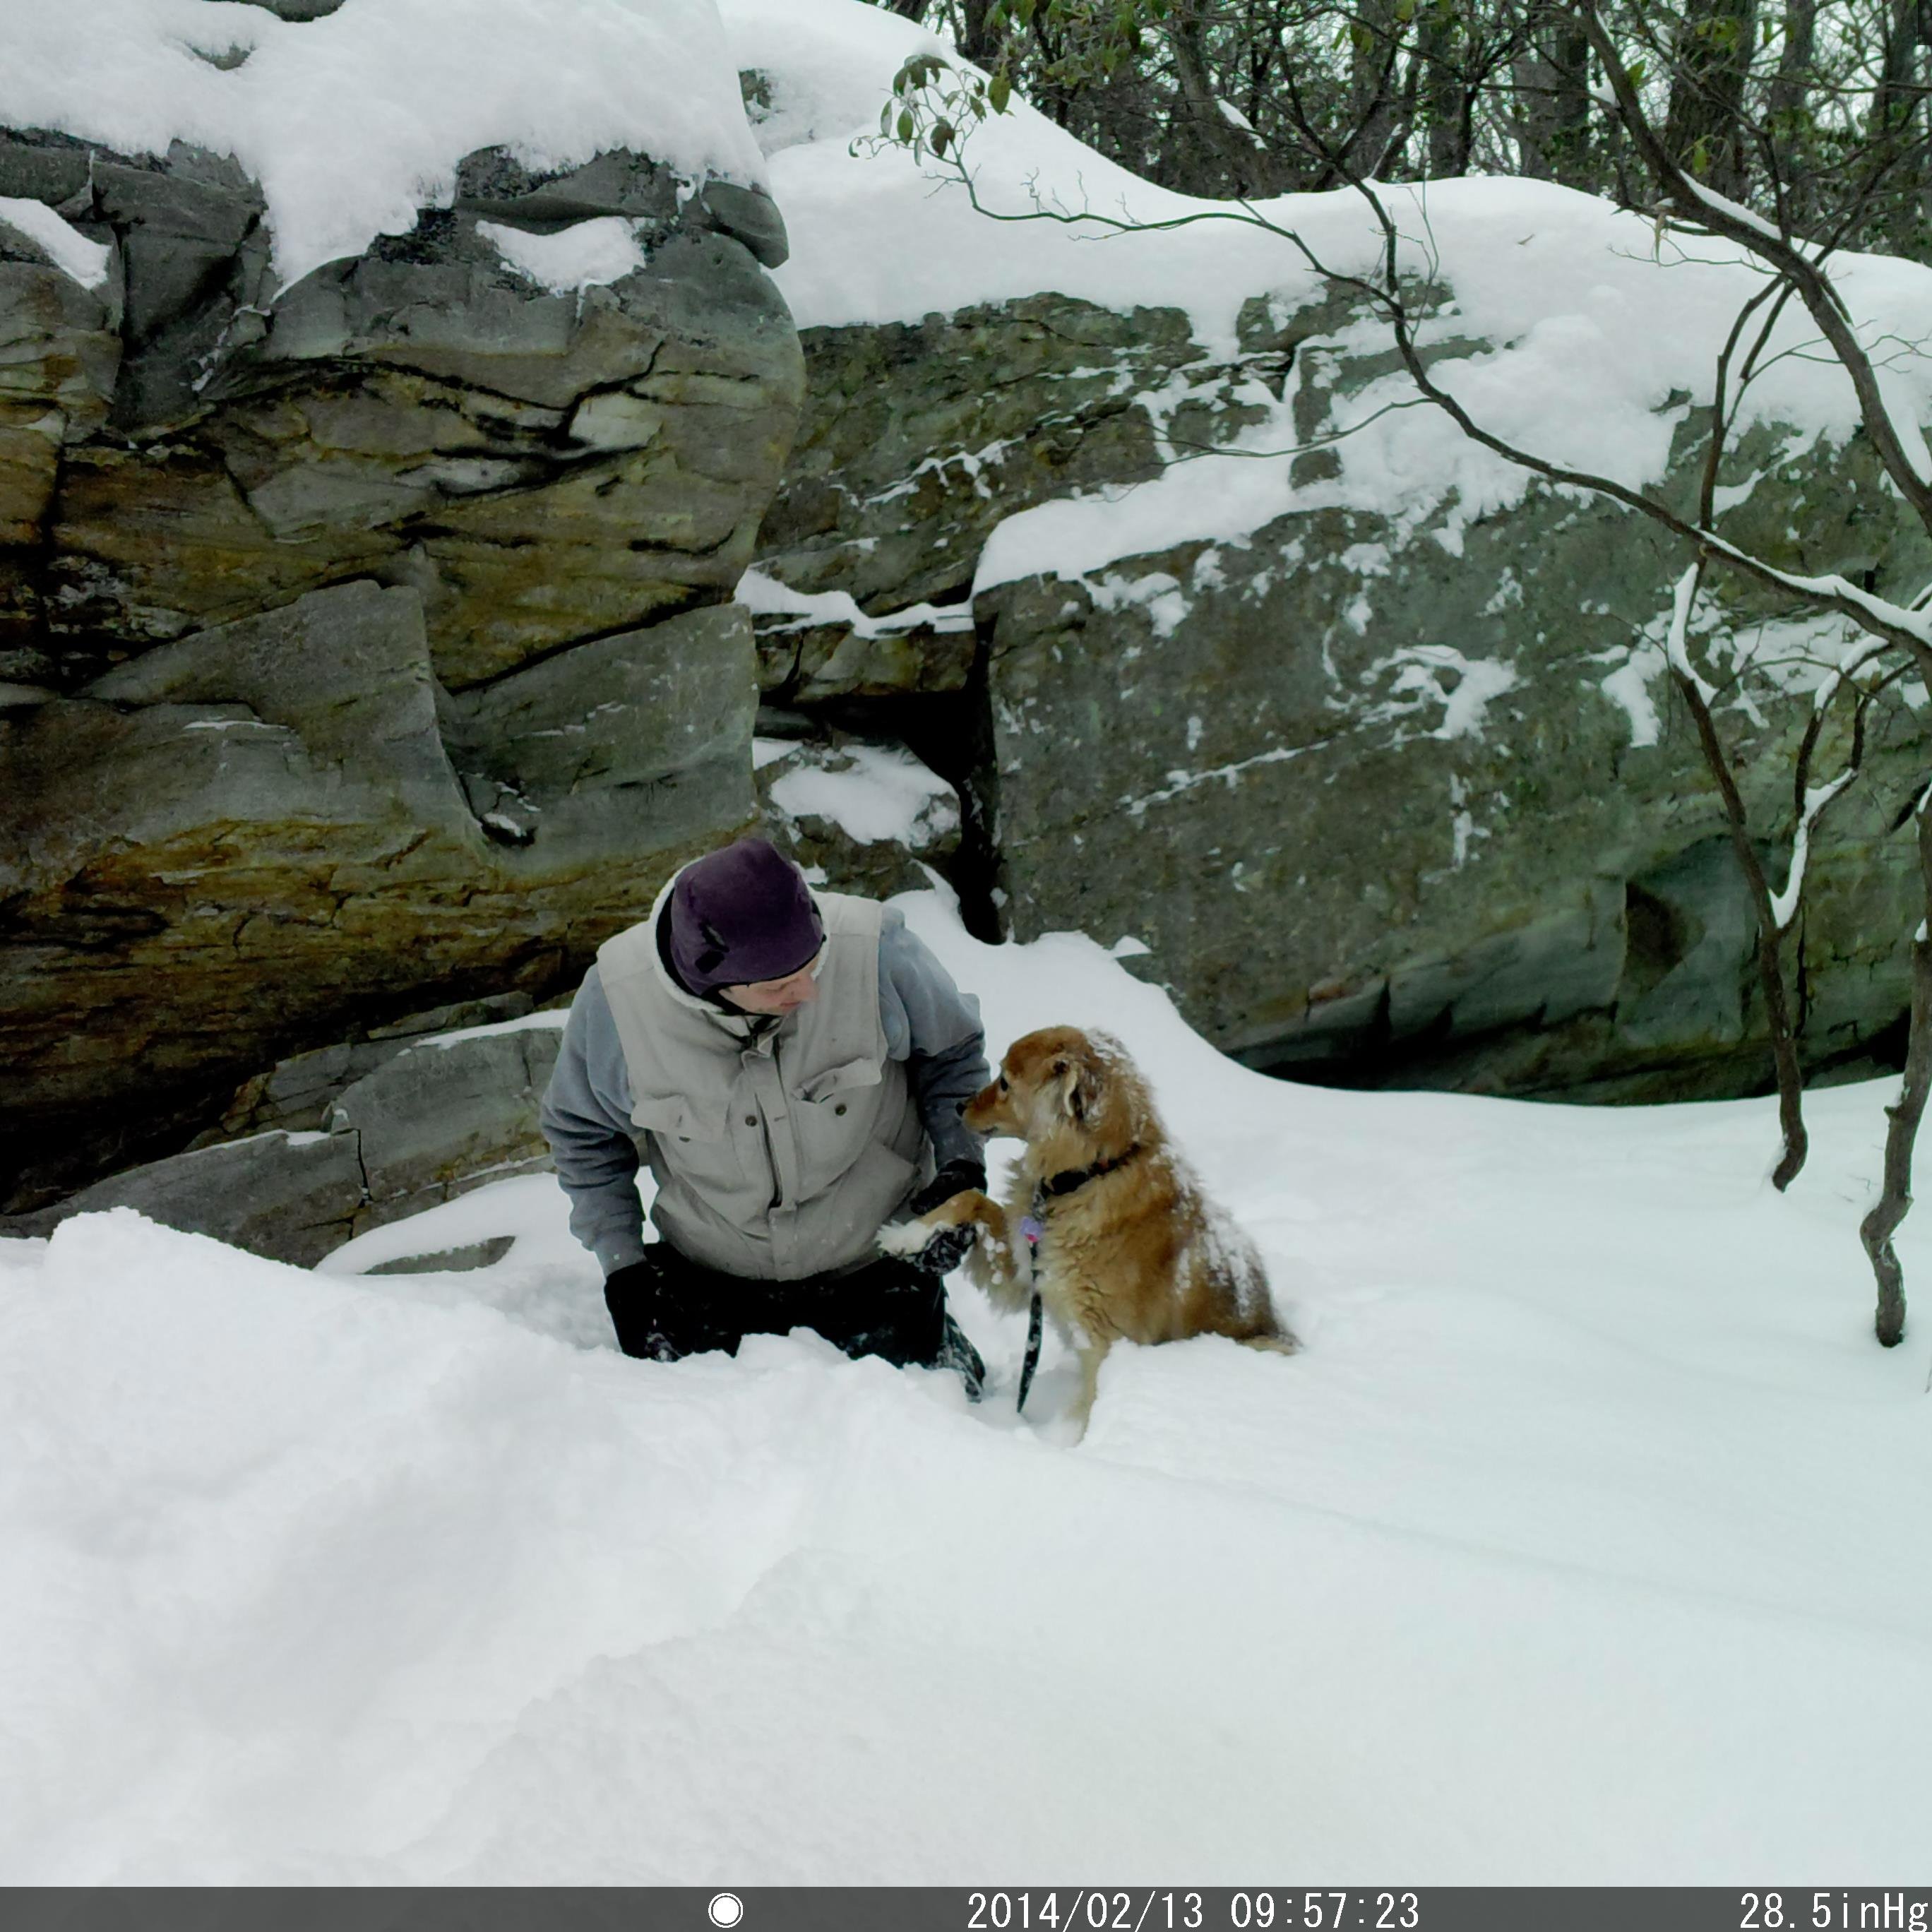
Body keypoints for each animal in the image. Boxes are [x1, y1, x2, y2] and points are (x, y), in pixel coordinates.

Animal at [885, 1027, 1298, 1437]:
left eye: (1004, 1082)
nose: (959, 1107)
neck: (1089, 1176)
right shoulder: (1027, 1271)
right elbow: (969, 1197)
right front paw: (907, 1236)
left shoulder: (1108, 1342)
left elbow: (1089, 1406)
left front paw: (1070, 1443)